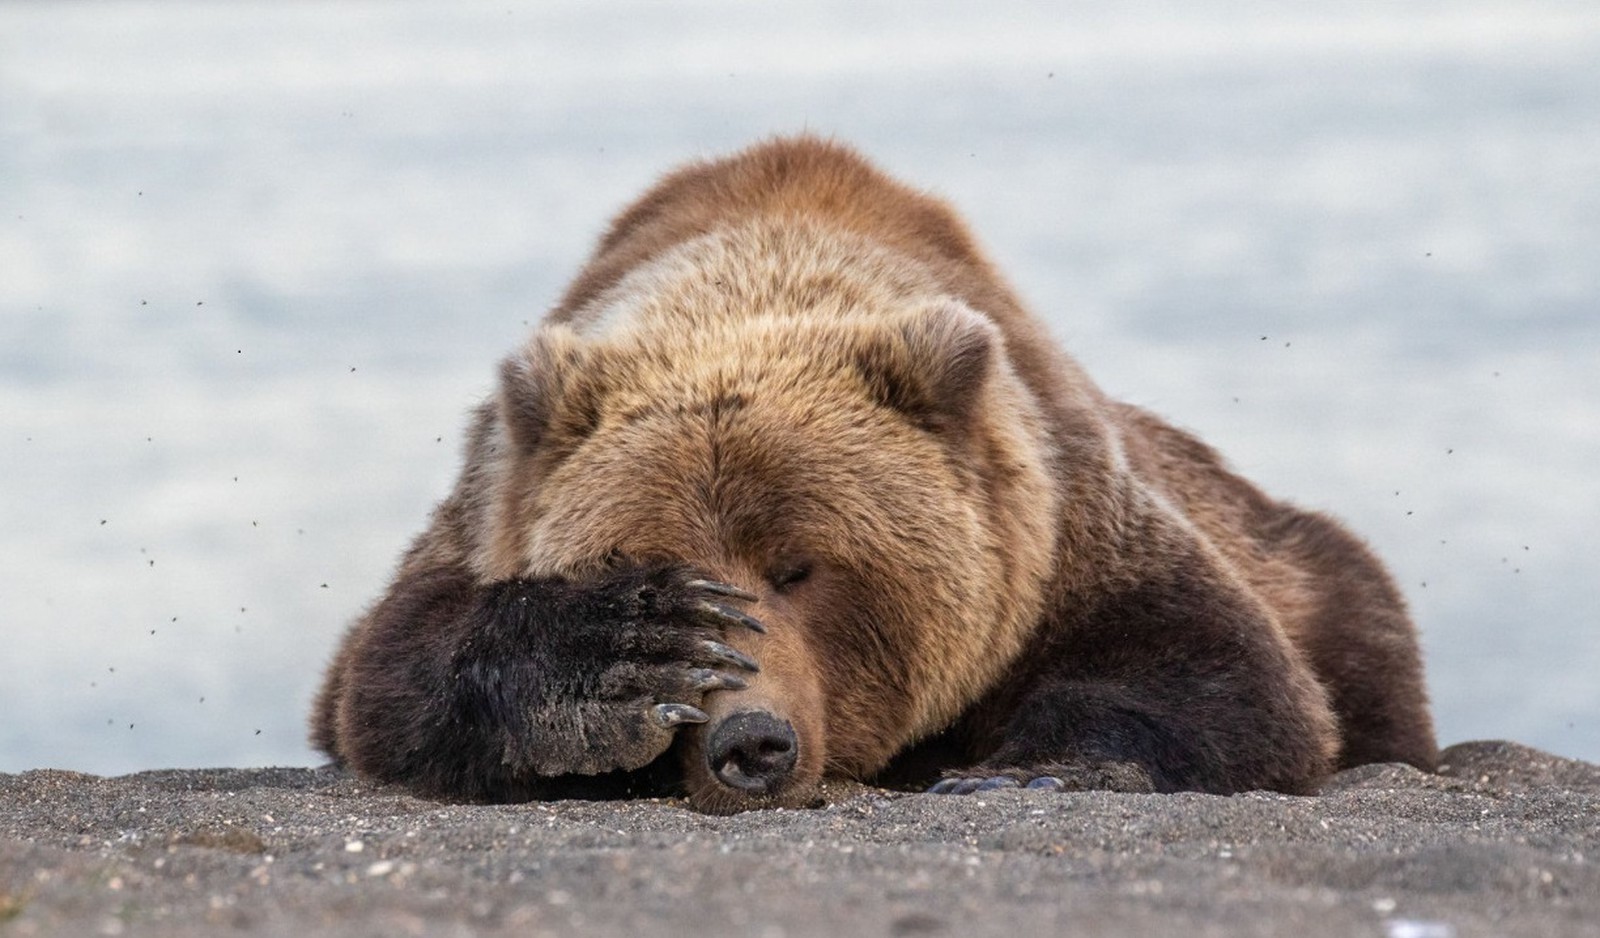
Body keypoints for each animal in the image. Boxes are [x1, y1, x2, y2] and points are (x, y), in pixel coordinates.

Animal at [312, 133, 1440, 809]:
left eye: (801, 566)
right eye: (652, 561)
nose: (749, 743)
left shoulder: (1061, 527)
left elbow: (1220, 673)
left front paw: (1024, 771)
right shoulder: (487, 505)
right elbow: (388, 669)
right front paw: (618, 659)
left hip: (1305, 561)